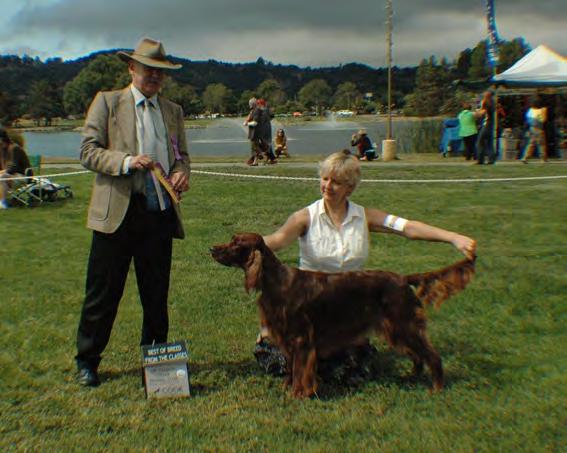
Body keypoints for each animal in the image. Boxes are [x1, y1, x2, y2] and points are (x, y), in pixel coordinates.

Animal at [212, 233, 474, 396]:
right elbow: (291, 367)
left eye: (236, 242)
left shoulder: (302, 338)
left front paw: (299, 394)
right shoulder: (287, 338)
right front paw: (289, 388)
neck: (276, 282)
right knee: (417, 356)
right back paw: (410, 377)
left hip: (404, 325)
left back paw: (436, 387)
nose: (211, 248)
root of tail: (403, 279)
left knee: (431, 355)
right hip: (396, 328)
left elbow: (300, 369)